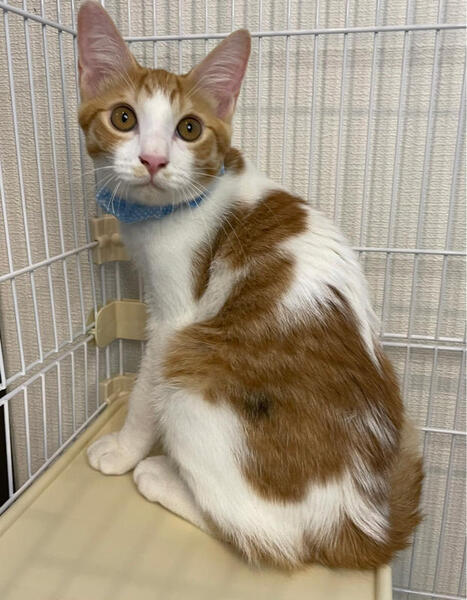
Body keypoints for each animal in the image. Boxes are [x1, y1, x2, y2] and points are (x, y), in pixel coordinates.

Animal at [78, 1, 422, 569]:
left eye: (189, 128)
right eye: (123, 117)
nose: (153, 160)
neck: (170, 210)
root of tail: (360, 524)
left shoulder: (175, 317)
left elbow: (146, 386)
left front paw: (125, 449)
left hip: (195, 364)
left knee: (272, 538)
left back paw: (160, 475)